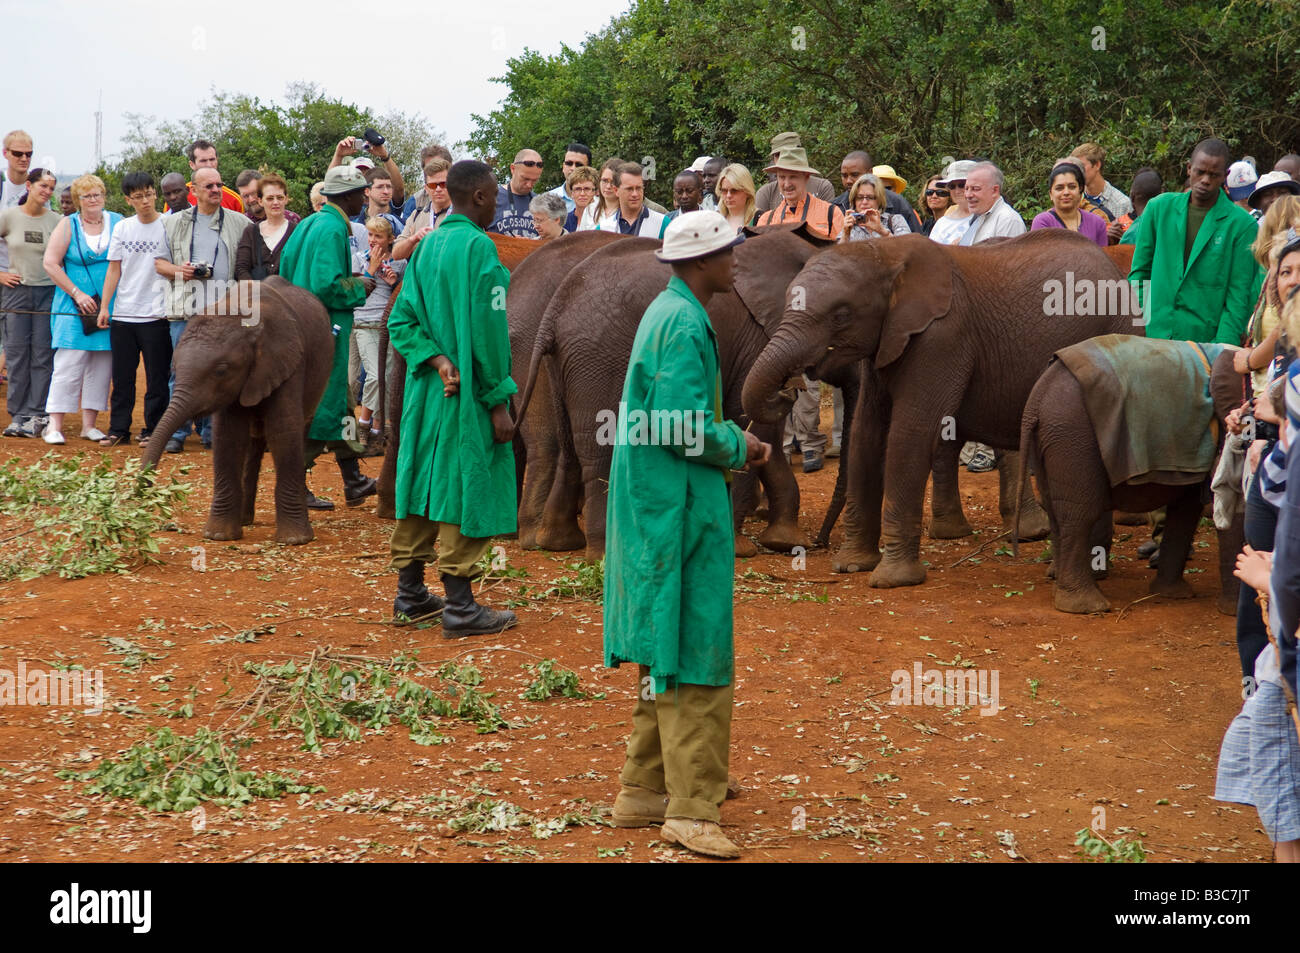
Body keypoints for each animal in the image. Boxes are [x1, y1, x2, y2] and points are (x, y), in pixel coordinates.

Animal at [1019, 338, 1232, 613]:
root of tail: (1037, 398)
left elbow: (1187, 506)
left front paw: (1173, 595)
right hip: (1072, 438)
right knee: (1080, 514)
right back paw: (1089, 607)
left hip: (1050, 438)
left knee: (1058, 511)